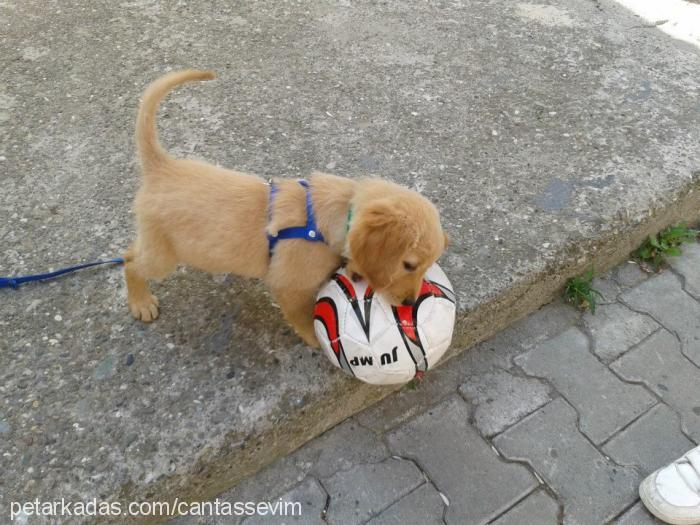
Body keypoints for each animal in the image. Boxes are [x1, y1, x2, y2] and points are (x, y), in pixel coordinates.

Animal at [126, 70, 448, 348]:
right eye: (408, 265)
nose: (410, 304)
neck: (331, 218)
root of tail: (161, 166)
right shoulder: (288, 287)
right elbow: (304, 318)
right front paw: (318, 341)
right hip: (164, 257)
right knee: (130, 261)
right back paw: (141, 302)